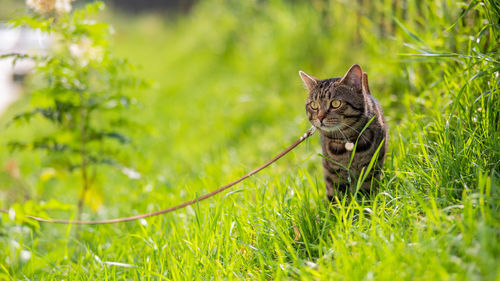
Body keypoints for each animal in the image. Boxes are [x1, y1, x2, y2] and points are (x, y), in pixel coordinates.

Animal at [298, 64, 388, 199]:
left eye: (336, 103)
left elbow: (367, 190)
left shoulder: (371, 166)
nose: (320, 118)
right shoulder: (332, 172)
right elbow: (336, 197)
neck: (347, 140)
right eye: (314, 105)